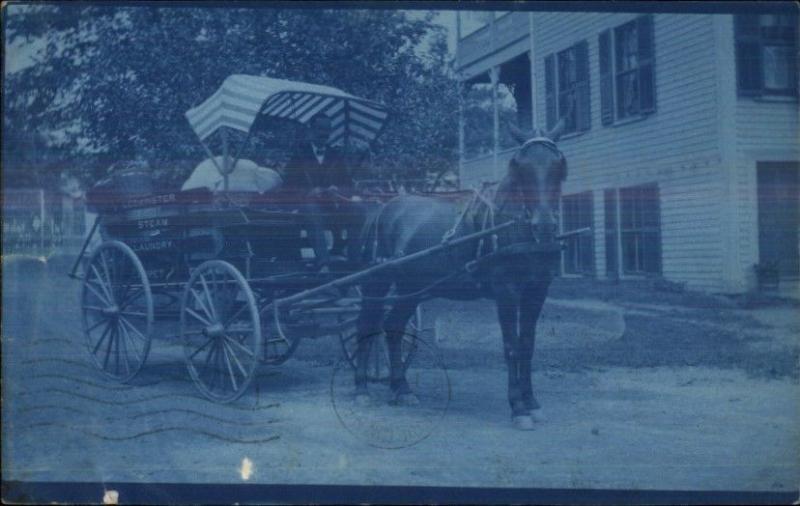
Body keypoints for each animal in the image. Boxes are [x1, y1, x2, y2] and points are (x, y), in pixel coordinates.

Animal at [354, 119, 568, 430]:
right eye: (518, 166)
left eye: (559, 165)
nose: (544, 226)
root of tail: (383, 208)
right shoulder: (506, 292)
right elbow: (511, 346)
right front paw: (518, 407)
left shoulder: (537, 291)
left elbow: (527, 345)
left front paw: (532, 403)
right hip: (377, 283)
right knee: (366, 325)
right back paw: (361, 388)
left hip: (412, 287)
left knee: (393, 326)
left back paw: (401, 389)